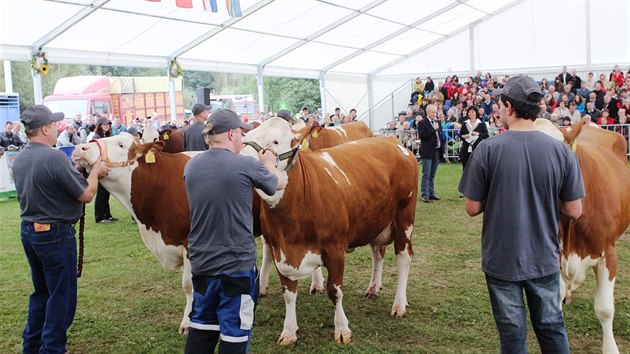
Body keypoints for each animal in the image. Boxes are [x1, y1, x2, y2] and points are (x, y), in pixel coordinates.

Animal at [242, 117, 420, 344]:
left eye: (275, 141)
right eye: (246, 137)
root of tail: (392, 141)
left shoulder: (335, 249)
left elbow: (335, 290)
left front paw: (342, 329)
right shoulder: (279, 251)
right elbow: (288, 293)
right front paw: (289, 332)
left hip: (405, 218)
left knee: (403, 257)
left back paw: (399, 305)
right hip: (376, 220)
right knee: (377, 252)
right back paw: (373, 288)